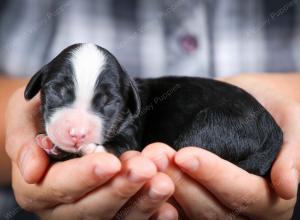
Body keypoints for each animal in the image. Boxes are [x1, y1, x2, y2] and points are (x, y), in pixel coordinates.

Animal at [24, 43, 282, 176]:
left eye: (108, 102)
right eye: (57, 91)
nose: (77, 134)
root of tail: (274, 130)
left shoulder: (130, 132)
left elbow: (119, 145)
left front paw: (92, 149)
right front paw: (51, 145)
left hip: (216, 124)